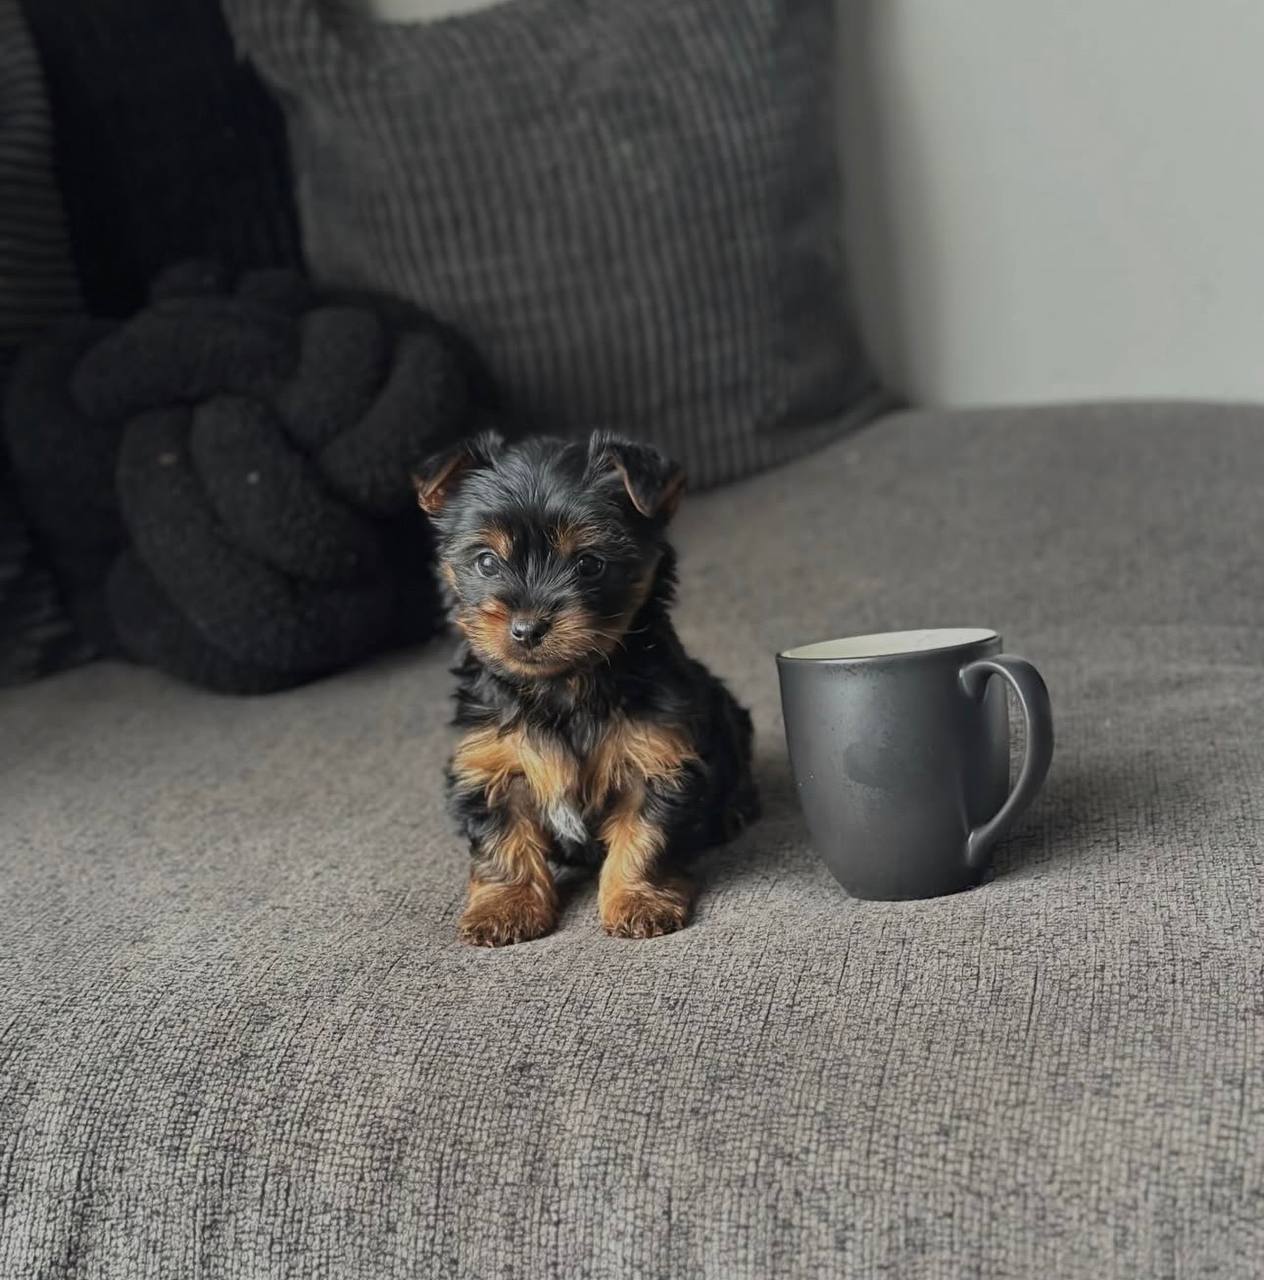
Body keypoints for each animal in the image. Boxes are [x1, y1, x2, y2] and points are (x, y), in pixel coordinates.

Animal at [413, 429, 758, 946]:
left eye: (590, 564)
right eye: (487, 562)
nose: (526, 628)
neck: (564, 685)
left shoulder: (656, 757)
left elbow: (644, 836)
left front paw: (638, 900)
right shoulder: (490, 764)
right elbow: (502, 843)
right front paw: (505, 908)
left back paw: (733, 811)